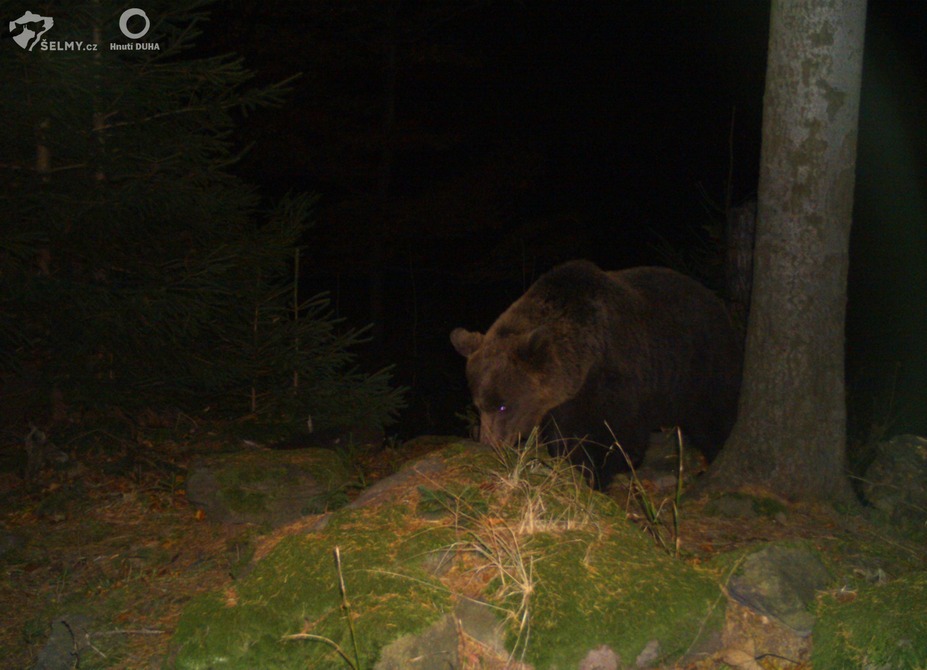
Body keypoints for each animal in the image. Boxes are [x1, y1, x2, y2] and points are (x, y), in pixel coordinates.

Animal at [450, 262, 740, 488]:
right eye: (478, 405)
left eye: (503, 405)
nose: (490, 444)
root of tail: (717, 302)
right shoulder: (563, 400)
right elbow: (561, 435)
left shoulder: (618, 380)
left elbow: (615, 439)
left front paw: (594, 472)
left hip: (702, 365)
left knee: (713, 416)